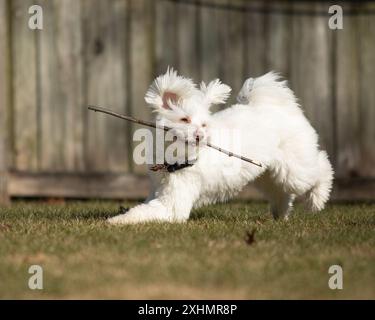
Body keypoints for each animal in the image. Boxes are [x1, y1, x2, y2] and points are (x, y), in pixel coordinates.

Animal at [108, 69, 334, 225]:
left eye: (204, 125)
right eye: (184, 119)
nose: (200, 136)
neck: (174, 159)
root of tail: (278, 107)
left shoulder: (173, 203)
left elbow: (145, 212)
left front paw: (117, 221)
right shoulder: (157, 191)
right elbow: (144, 206)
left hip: (295, 168)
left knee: (321, 166)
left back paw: (318, 199)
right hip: (267, 173)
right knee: (282, 191)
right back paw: (281, 214)